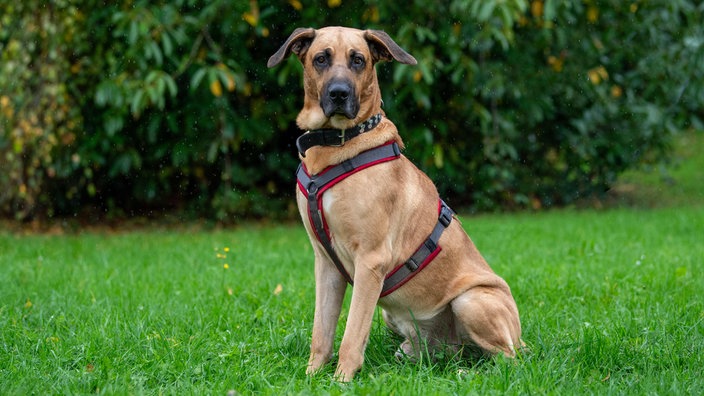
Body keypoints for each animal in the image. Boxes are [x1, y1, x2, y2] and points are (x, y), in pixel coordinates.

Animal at [266, 26, 520, 382]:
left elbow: (352, 334)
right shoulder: (326, 263)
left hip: (471, 301)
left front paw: (341, 381)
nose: (339, 94)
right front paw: (311, 377)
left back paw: (468, 374)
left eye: (358, 60)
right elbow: (322, 333)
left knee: (508, 362)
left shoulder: (370, 262)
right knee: (454, 354)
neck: (336, 145)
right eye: (321, 59)